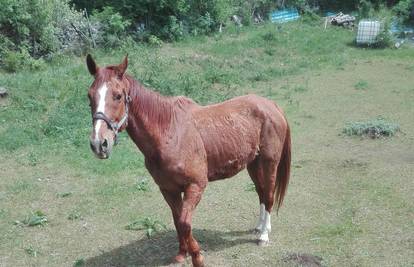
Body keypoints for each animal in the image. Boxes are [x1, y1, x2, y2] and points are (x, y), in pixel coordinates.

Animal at [85, 55, 290, 267]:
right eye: (89, 96)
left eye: (117, 96)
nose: (99, 144)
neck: (169, 133)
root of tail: (271, 105)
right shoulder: (169, 189)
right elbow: (178, 220)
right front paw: (182, 253)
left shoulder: (195, 186)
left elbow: (185, 222)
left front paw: (197, 257)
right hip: (253, 164)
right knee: (261, 192)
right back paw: (259, 227)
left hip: (269, 162)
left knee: (268, 195)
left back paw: (264, 235)